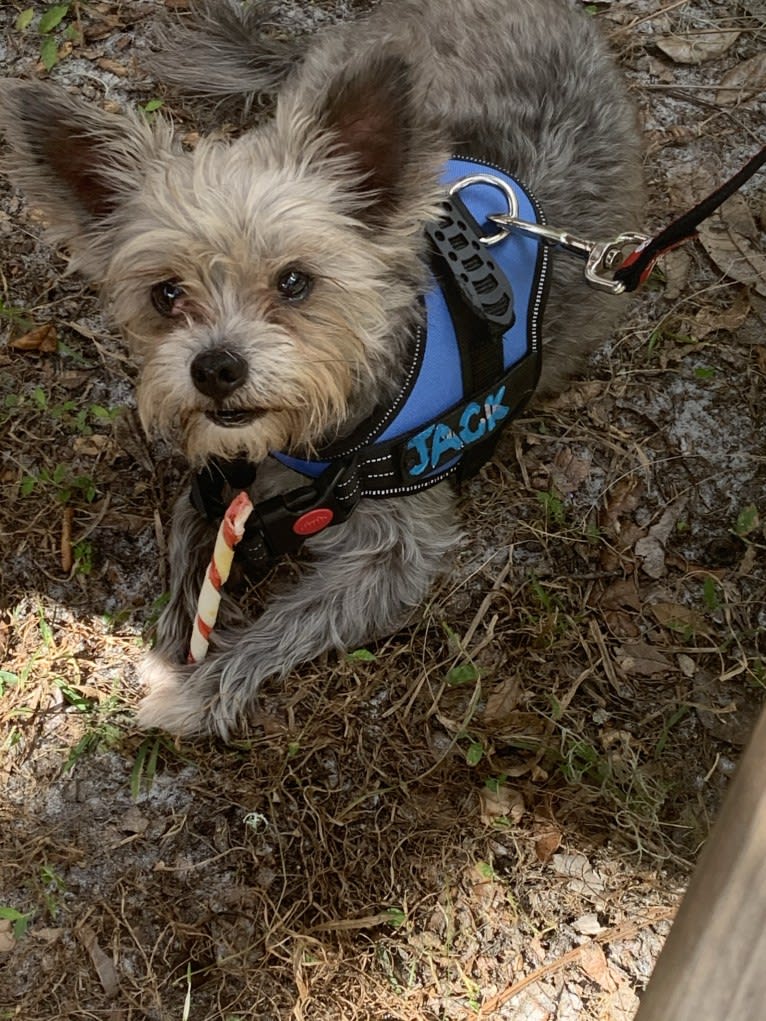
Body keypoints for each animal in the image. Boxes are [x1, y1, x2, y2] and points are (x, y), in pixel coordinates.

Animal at [0, 0, 645, 735]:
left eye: (295, 282)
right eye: (165, 293)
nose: (215, 368)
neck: (307, 441)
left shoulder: (395, 554)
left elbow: (289, 622)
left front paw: (196, 687)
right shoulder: (215, 481)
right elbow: (191, 551)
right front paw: (176, 644)